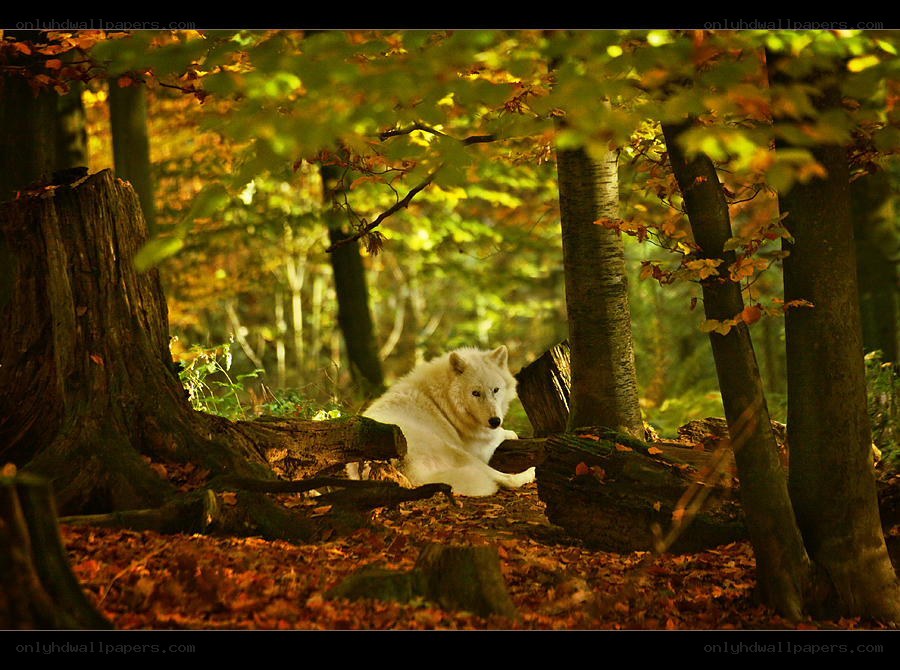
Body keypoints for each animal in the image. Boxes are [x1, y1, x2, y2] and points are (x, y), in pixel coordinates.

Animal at [363, 346, 536, 497]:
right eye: (475, 393)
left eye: (496, 390)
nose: (495, 421)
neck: (442, 399)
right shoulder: (478, 450)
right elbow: (496, 436)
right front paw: (510, 433)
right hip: (461, 454)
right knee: (508, 480)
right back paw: (531, 472)